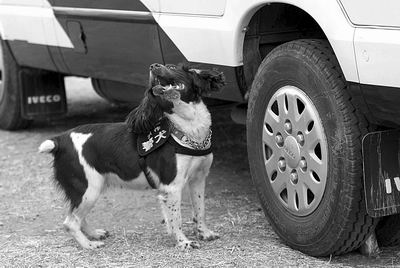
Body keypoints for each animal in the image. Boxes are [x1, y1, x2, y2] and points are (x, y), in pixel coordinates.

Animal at [39, 63, 227, 251]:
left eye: (172, 66)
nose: (153, 66)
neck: (189, 129)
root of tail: (60, 140)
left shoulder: (198, 179)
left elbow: (200, 210)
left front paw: (205, 233)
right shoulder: (172, 186)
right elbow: (176, 219)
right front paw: (184, 242)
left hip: (91, 190)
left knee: (79, 218)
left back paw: (94, 234)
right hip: (88, 189)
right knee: (70, 222)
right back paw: (89, 244)